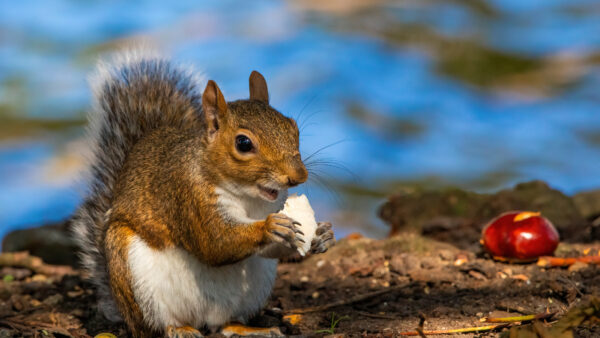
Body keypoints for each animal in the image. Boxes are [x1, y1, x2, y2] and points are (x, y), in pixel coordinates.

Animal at [71, 51, 336, 336]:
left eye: (293, 128)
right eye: (243, 143)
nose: (298, 176)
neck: (249, 198)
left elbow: (267, 250)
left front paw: (322, 236)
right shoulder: (186, 195)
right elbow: (214, 242)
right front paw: (268, 227)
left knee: (225, 324)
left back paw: (249, 329)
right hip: (134, 278)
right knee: (157, 325)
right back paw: (179, 329)